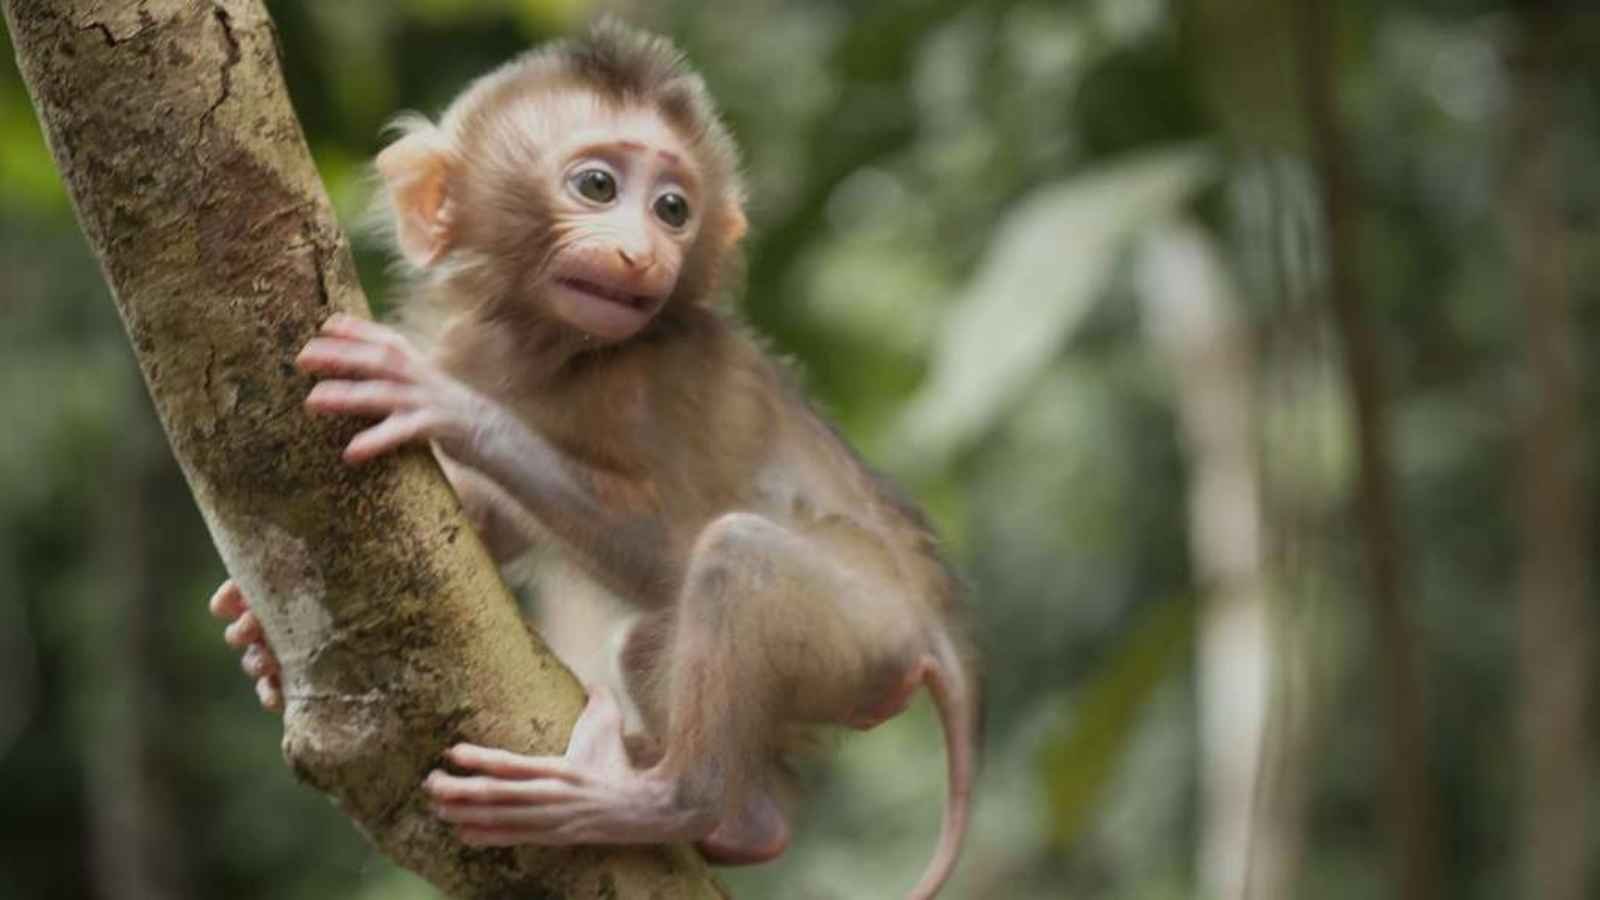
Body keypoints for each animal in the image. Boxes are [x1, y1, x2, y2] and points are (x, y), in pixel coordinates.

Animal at [209, 20, 978, 899]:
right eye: (599, 187)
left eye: (674, 208)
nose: (644, 252)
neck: (552, 350)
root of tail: (934, 626)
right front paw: (251, 632)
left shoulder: (662, 380)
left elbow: (670, 546)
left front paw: (448, 407)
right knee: (649, 642)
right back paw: (748, 822)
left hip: (867, 631)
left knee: (731, 556)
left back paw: (675, 803)